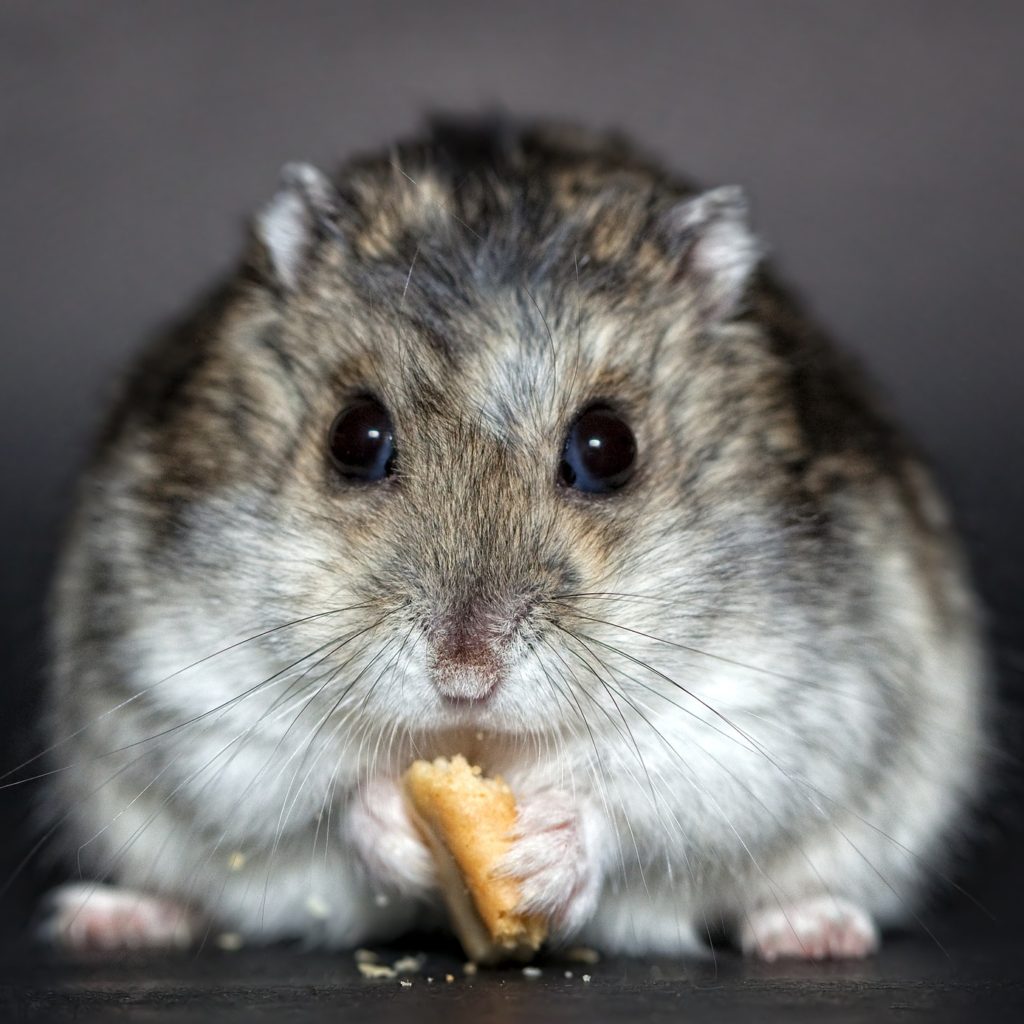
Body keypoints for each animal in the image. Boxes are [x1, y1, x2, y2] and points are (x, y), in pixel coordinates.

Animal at [38, 118, 987, 959]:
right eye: (354, 437)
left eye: (608, 448)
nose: (466, 677)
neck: (485, 743)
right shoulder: (192, 689)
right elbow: (318, 795)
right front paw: (397, 822)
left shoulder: (769, 709)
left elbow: (643, 800)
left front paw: (539, 854)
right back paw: (108, 918)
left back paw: (813, 932)